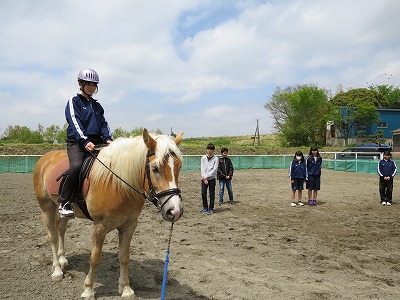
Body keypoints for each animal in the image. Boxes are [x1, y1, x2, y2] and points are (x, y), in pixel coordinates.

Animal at [32, 129, 184, 300]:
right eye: (155, 168)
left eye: (178, 167)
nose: (175, 211)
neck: (118, 185)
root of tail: (45, 158)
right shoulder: (100, 227)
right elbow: (94, 258)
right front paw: (88, 290)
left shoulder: (129, 225)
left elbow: (124, 257)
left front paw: (126, 289)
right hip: (46, 207)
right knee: (52, 236)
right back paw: (57, 270)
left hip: (63, 211)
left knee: (61, 230)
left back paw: (63, 259)